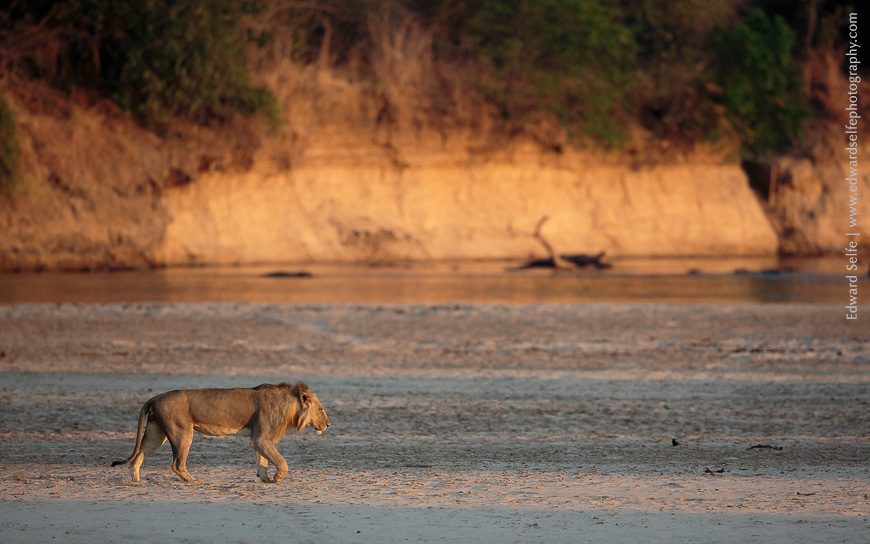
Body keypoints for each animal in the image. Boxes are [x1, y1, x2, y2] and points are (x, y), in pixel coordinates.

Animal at [111, 381, 329, 483]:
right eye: (321, 409)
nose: (328, 424)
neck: (290, 407)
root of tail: (156, 397)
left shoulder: (259, 439)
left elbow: (263, 462)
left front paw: (266, 480)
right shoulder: (260, 439)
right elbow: (281, 461)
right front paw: (277, 478)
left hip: (156, 433)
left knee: (137, 458)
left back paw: (138, 482)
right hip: (182, 433)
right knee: (177, 464)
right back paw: (195, 481)